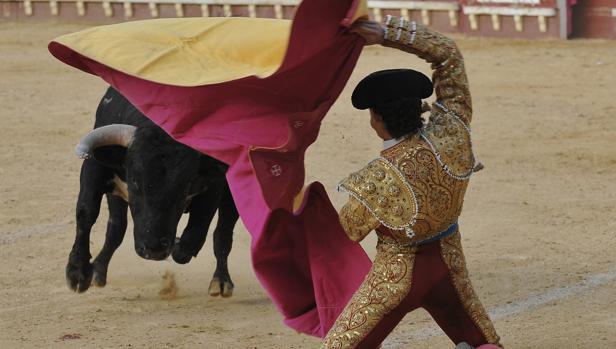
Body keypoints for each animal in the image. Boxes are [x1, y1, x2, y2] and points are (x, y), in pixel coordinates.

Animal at [67, 87, 238, 296]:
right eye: (134, 180)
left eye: (186, 184)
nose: (154, 249)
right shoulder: (94, 169)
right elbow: (87, 213)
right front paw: (78, 273)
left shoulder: (213, 187)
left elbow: (194, 236)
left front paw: (178, 245)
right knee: (116, 227)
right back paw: (98, 270)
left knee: (223, 234)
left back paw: (221, 281)